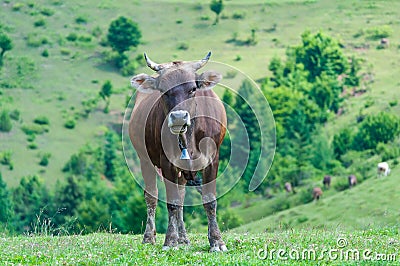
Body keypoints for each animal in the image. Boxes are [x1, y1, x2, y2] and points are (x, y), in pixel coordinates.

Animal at [129, 51, 227, 251]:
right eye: (163, 90)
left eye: (192, 89)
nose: (179, 117)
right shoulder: (166, 162)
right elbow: (172, 203)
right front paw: (170, 241)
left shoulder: (213, 159)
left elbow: (209, 199)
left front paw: (216, 241)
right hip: (145, 160)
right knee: (151, 196)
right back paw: (149, 237)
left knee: (181, 197)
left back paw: (184, 238)